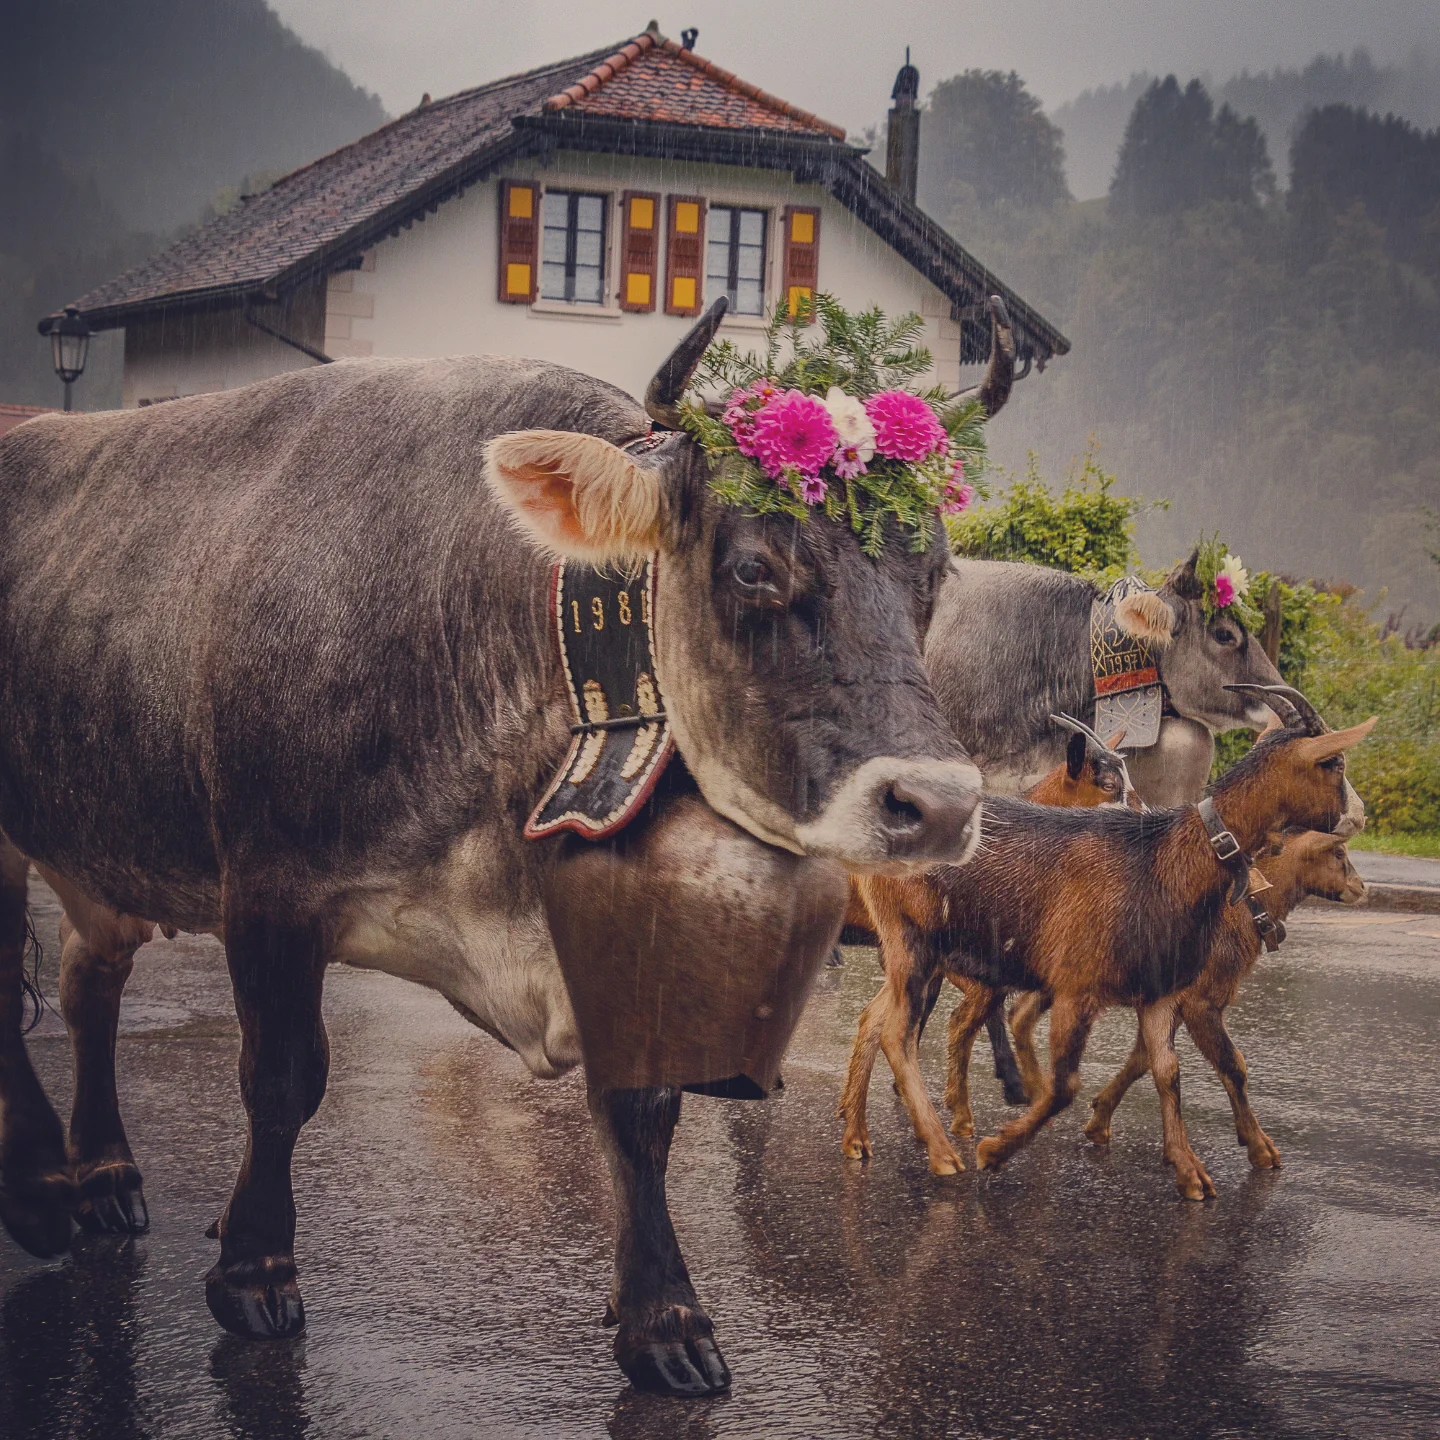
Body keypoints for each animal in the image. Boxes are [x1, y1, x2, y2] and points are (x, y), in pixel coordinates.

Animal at [0, 300, 999, 1398]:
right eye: (753, 569)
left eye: (935, 575)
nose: (939, 806)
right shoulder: (268, 885)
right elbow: (282, 1077)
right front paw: (255, 1267)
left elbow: (641, 1105)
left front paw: (664, 1318)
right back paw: (41, 1191)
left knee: (90, 984)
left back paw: (101, 1175)